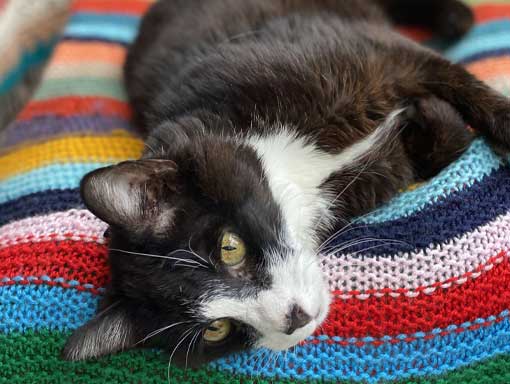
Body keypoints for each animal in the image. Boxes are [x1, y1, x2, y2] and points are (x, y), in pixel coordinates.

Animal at [62, 0, 510, 368]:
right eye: (216, 330)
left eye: (229, 247)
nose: (292, 319)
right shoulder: (375, 176)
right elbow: (446, 141)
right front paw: (432, 116)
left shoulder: (367, 53)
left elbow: (453, 80)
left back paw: (454, 17)